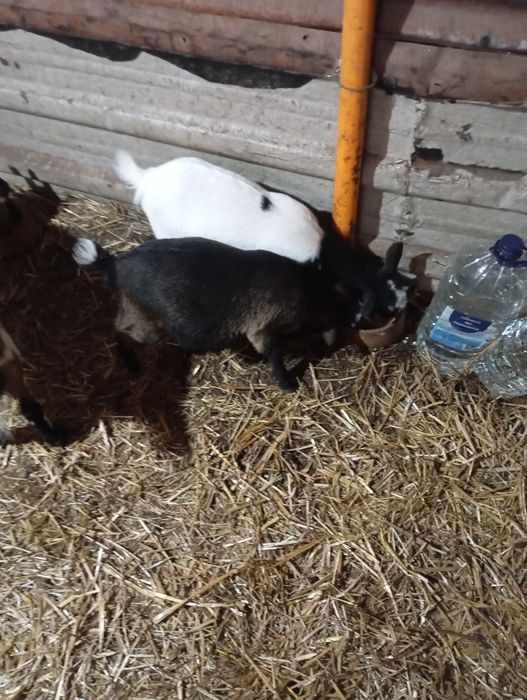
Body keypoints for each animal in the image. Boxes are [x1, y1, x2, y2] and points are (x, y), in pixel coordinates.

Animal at [72, 236, 363, 391]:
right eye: (341, 313)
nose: (344, 335)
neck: (308, 287)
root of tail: (115, 264)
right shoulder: (263, 325)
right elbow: (273, 352)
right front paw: (287, 382)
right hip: (146, 322)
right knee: (121, 330)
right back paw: (131, 363)